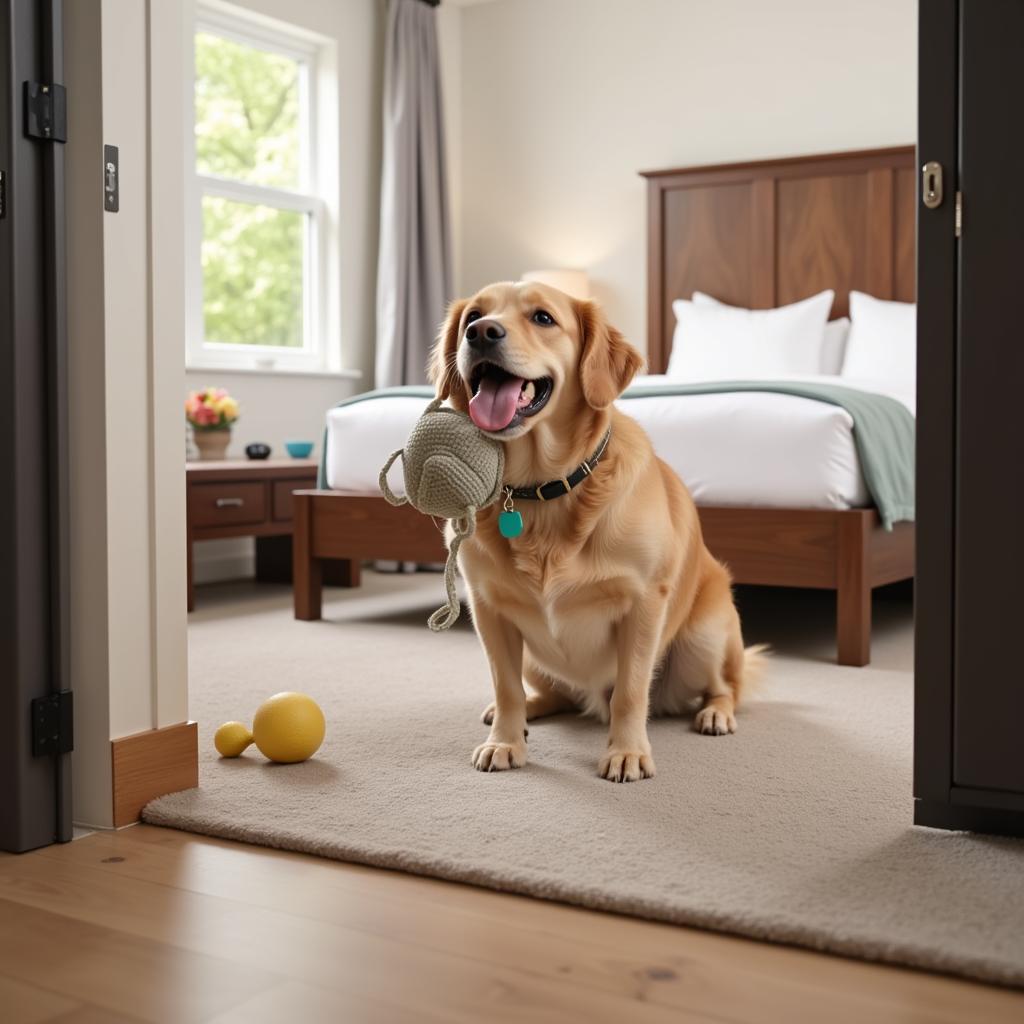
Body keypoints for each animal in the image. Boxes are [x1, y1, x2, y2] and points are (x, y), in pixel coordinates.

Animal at [428, 282, 765, 782]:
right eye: (473, 315)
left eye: (543, 318)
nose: (481, 333)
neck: (540, 493)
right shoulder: (489, 610)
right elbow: (505, 685)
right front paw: (505, 740)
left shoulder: (644, 604)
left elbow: (630, 691)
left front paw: (626, 752)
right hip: (536, 659)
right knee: (553, 694)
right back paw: (525, 711)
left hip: (703, 638)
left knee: (727, 686)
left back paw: (716, 713)